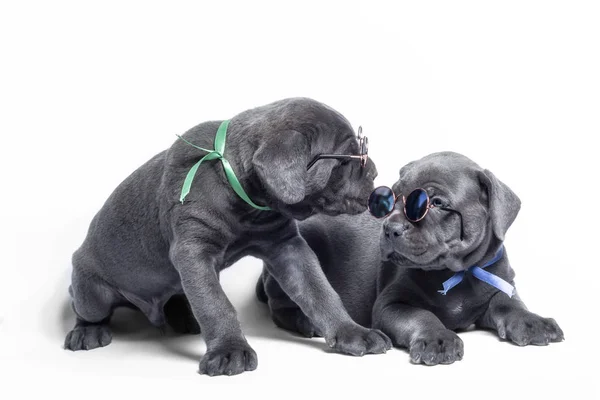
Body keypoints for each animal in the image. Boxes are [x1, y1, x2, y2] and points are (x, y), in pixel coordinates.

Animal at [65, 97, 392, 376]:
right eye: (349, 160)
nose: (375, 172)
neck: (245, 202)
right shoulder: (193, 250)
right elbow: (214, 303)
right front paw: (230, 350)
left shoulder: (286, 246)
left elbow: (319, 290)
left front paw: (353, 333)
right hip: (92, 293)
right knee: (83, 306)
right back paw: (87, 332)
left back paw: (184, 317)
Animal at [258, 151, 564, 366]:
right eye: (390, 199)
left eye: (436, 203)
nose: (390, 228)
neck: (457, 272)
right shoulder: (391, 305)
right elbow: (421, 315)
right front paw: (437, 338)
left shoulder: (501, 284)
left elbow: (510, 304)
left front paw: (532, 320)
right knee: (283, 305)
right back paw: (306, 323)